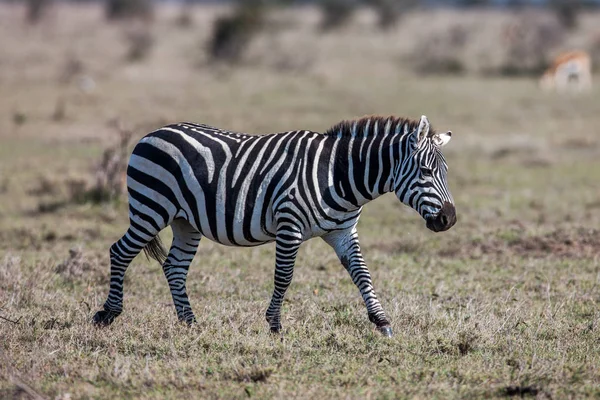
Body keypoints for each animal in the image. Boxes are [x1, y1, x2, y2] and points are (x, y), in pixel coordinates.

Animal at [94, 114, 458, 336]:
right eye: (426, 171)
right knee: (120, 251)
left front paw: (381, 322)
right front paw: (275, 325)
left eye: (445, 172)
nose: (449, 219)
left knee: (174, 267)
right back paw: (108, 314)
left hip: (186, 221)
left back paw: (189, 322)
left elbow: (363, 274)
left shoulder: (343, 232)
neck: (339, 176)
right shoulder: (289, 224)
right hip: (151, 207)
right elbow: (284, 277)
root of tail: (152, 134)